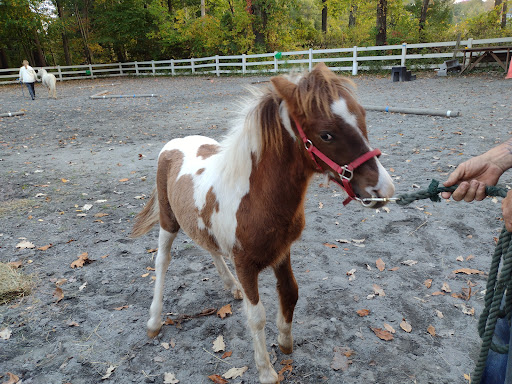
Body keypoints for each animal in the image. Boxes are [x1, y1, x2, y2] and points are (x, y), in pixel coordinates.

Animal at [131, 62, 392, 380]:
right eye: (326, 134)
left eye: (363, 116)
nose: (383, 189)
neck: (255, 198)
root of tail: (175, 143)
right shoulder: (245, 263)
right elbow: (256, 316)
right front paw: (267, 371)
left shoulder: (282, 251)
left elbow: (290, 293)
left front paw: (285, 343)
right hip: (168, 221)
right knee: (162, 261)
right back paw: (154, 321)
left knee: (209, 246)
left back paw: (231, 287)